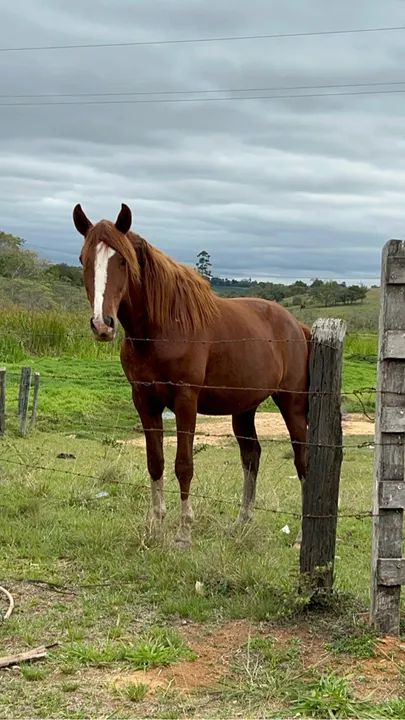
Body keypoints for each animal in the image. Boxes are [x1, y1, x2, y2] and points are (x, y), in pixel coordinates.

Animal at [73, 203, 311, 547]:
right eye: (84, 259)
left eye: (122, 259)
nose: (102, 324)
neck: (162, 329)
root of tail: (296, 326)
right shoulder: (144, 400)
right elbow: (155, 462)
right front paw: (155, 525)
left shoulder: (186, 400)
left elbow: (183, 465)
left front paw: (184, 532)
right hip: (244, 408)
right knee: (251, 456)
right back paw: (241, 523)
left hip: (292, 404)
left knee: (303, 460)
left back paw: (304, 534)